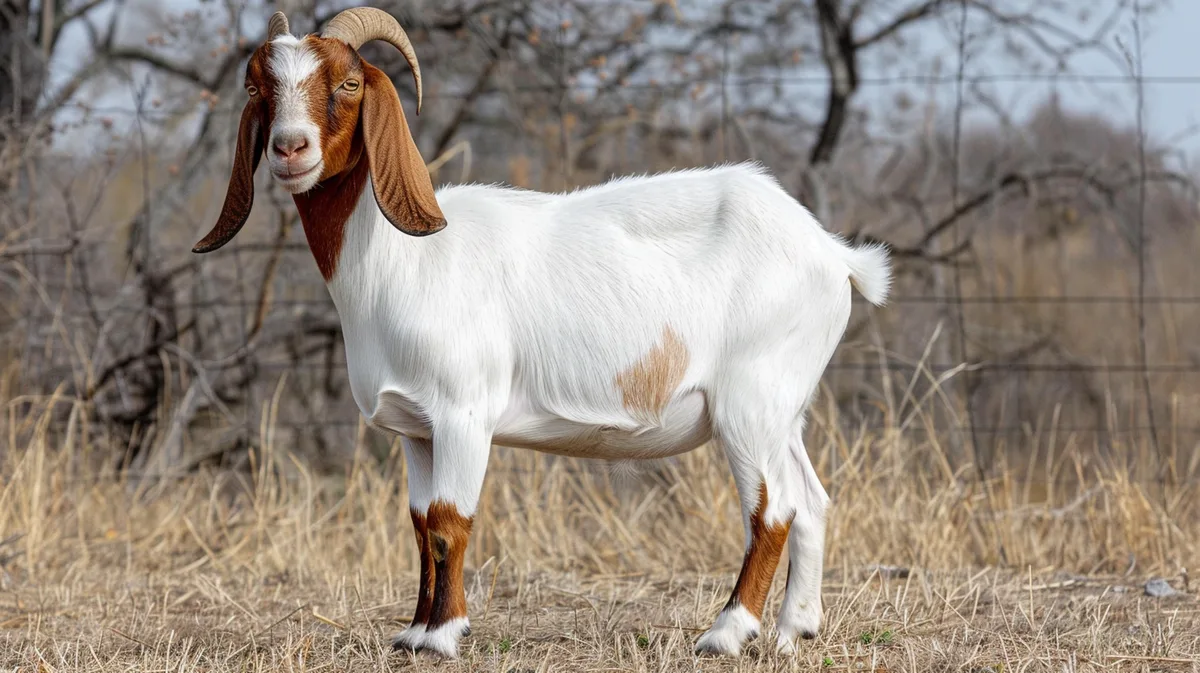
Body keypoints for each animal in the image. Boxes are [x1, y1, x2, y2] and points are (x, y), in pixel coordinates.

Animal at [193, 7, 892, 658]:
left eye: (346, 82)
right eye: (258, 87)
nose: (290, 149)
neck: (401, 259)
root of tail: (833, 254)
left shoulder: (463, 411)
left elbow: (450, 522)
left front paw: (444, 636)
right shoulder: (417, 430)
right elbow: (419, 525)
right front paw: (413, 633)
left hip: (749, 404)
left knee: (773, 510)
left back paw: (725, 633)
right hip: (784, 408)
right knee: (813, 499)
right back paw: (795, 630)